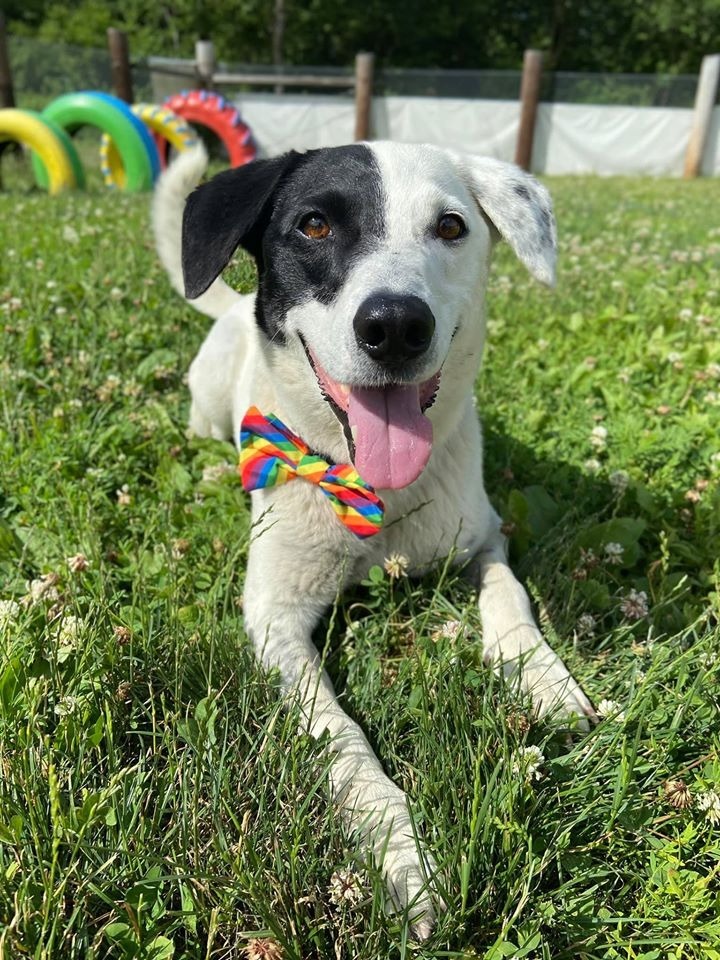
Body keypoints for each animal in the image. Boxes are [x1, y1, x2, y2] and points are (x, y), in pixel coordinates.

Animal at [152, 142, 596, 936]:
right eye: (315, 225)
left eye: (450, 226)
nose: (394, 325)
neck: (376, 491)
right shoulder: (275, 621)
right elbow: (341, 738)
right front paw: (398, 854)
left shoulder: (483, 541)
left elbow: (511, 601)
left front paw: (544, 678)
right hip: (206, 401)